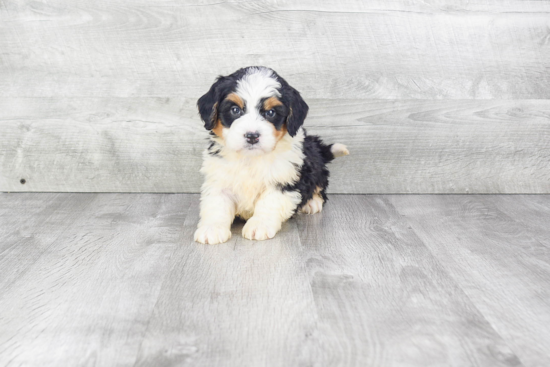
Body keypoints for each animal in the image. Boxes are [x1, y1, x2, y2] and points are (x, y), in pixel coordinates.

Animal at [194, 66, 350, 244]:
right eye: (235, 110)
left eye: (270, 112)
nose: (252, 136)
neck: (250, 158)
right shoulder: (219, 179)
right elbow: (216, 204)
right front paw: (212, 228)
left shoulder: (283, 180)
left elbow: (269, 203)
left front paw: (259, 225)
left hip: (313, 161)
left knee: (320, 184)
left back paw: (312, 203)